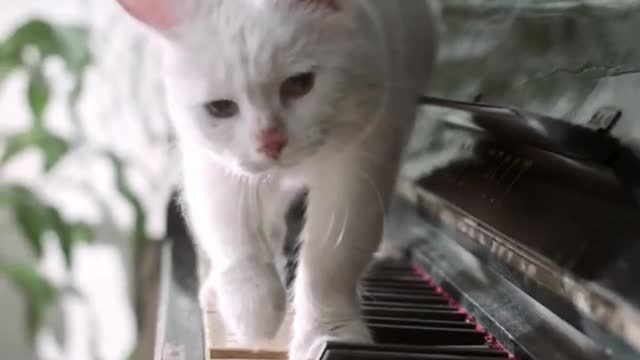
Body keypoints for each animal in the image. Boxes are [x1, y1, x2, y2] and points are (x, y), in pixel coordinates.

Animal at [115, 1, 436, 358]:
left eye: (300, 83)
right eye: (221, 108)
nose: (270, 142)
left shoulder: (360, 166)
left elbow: (331, 263)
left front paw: (329, 334)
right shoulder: (214, 167)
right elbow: (235, 239)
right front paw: (254, 314)